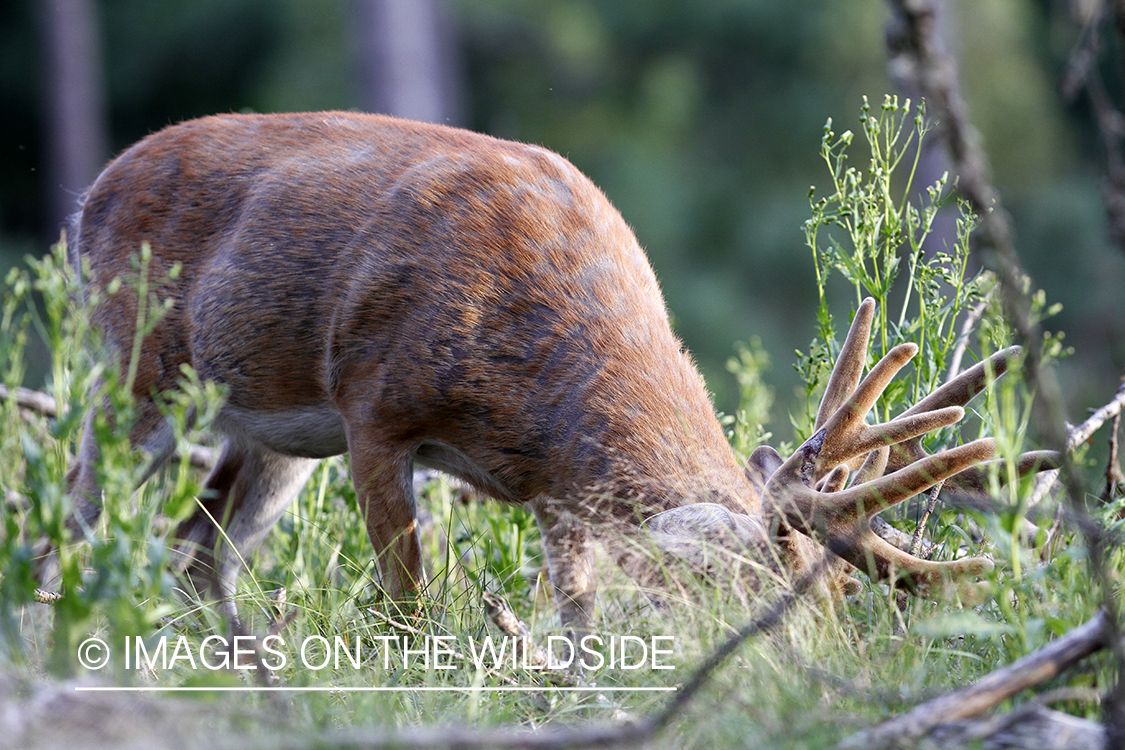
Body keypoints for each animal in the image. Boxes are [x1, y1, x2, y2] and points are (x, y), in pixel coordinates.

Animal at [50, 108, 1053, 629]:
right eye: (754, 598)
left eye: (841, 596)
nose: (822, 670)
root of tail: (88, 195)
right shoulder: (373, 407)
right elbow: (409, 602)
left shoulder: (557, 494)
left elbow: (575, 615)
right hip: (133, 375)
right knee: (77, 508)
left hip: (273, 438)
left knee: (198, 548)